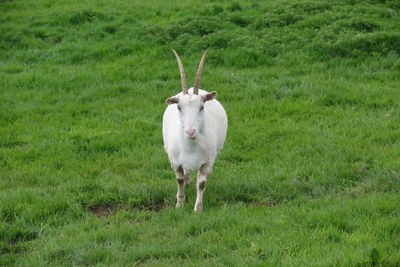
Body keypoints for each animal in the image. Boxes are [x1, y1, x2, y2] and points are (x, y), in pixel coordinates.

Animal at [161, 50, 227, 214]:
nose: (190, 132)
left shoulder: (207, 162)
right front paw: (179, 204)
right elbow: (179, 179)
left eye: (202, 107)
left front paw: (197, 208)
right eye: (179, 107)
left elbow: (201, 183)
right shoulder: (174, 161)